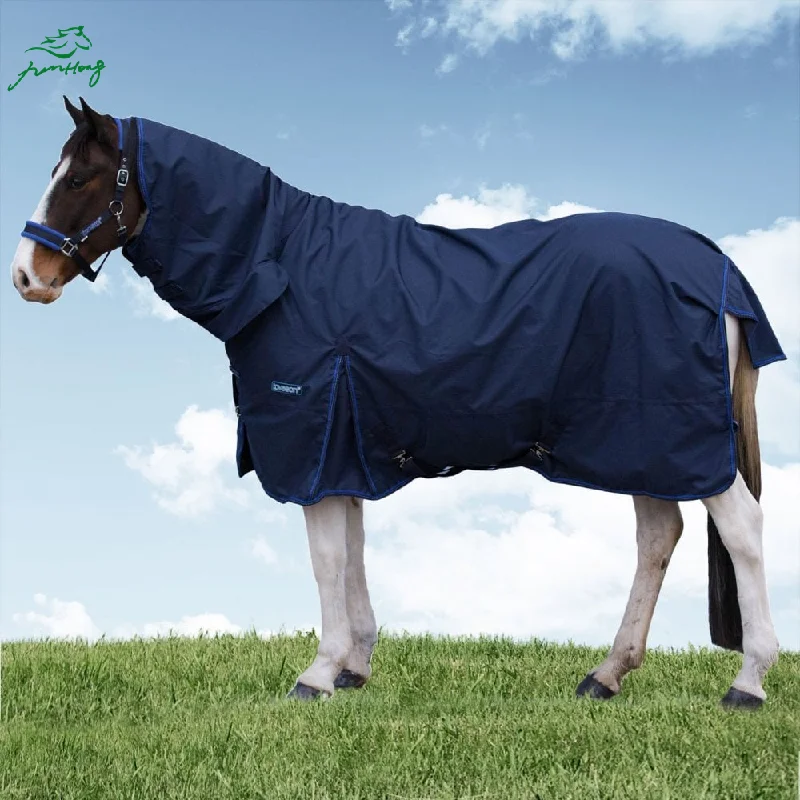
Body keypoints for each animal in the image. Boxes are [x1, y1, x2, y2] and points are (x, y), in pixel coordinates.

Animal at [10, 96, 785, 709]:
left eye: (78, 178)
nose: (24, 275)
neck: (283, 267)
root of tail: (716, 264)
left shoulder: (313, 439)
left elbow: (326, 558)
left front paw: (318, 673)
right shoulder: (343, 444)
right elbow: (351, 550)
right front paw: (354, 666)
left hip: (676, 442)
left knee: (743, 530)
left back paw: (747, 681)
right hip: (642, 442)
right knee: (658, 537)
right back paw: (607, 674)